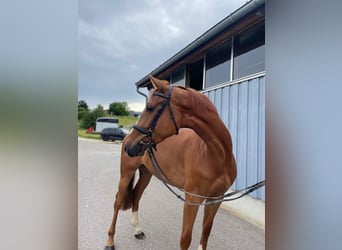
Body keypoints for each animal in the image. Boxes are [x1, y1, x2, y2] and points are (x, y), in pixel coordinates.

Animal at [105, 76, 236, 250]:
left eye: (150, 108)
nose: (129, 146)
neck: (216, 156)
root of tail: (126, 136)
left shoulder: (216, 199)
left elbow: (206, 232)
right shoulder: (192, 200)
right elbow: (185, 239)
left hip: (146, 173)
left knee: (137, 195)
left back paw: (138, 230)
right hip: (126, 173)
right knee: (118, 202)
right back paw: (110, 241)